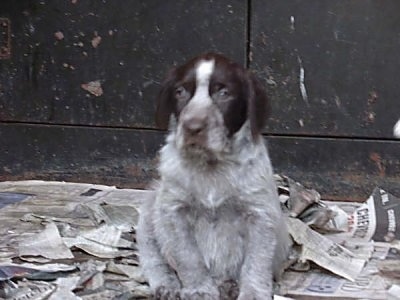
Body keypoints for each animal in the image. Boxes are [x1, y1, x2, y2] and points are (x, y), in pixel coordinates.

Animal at [136, 52, 290, 298]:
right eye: (180, 92)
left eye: (224, 93)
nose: (192, 127)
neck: (211, 164)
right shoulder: (174, 211)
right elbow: (189, 258)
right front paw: (199, 289)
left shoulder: (260, 213)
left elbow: (256, 262)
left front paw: (253, 293)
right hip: (150, 212)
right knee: (152, 257)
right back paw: (167, 285)